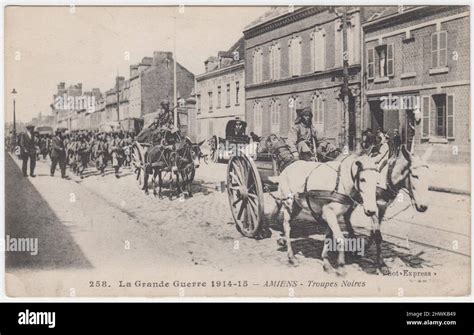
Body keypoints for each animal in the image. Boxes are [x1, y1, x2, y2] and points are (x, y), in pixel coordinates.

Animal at [260, 135, 378, 276]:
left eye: (377, 179)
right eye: (362, 179)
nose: (371, 211)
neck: (341, 181)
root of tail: (286, 169)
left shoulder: (330, 215)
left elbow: (329, 237)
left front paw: (326, 263)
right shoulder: (330, 213)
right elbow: (340, 239)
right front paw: (341, 267)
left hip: (297, 206)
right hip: (288, 204)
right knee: (287, 226)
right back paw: (291, 257)